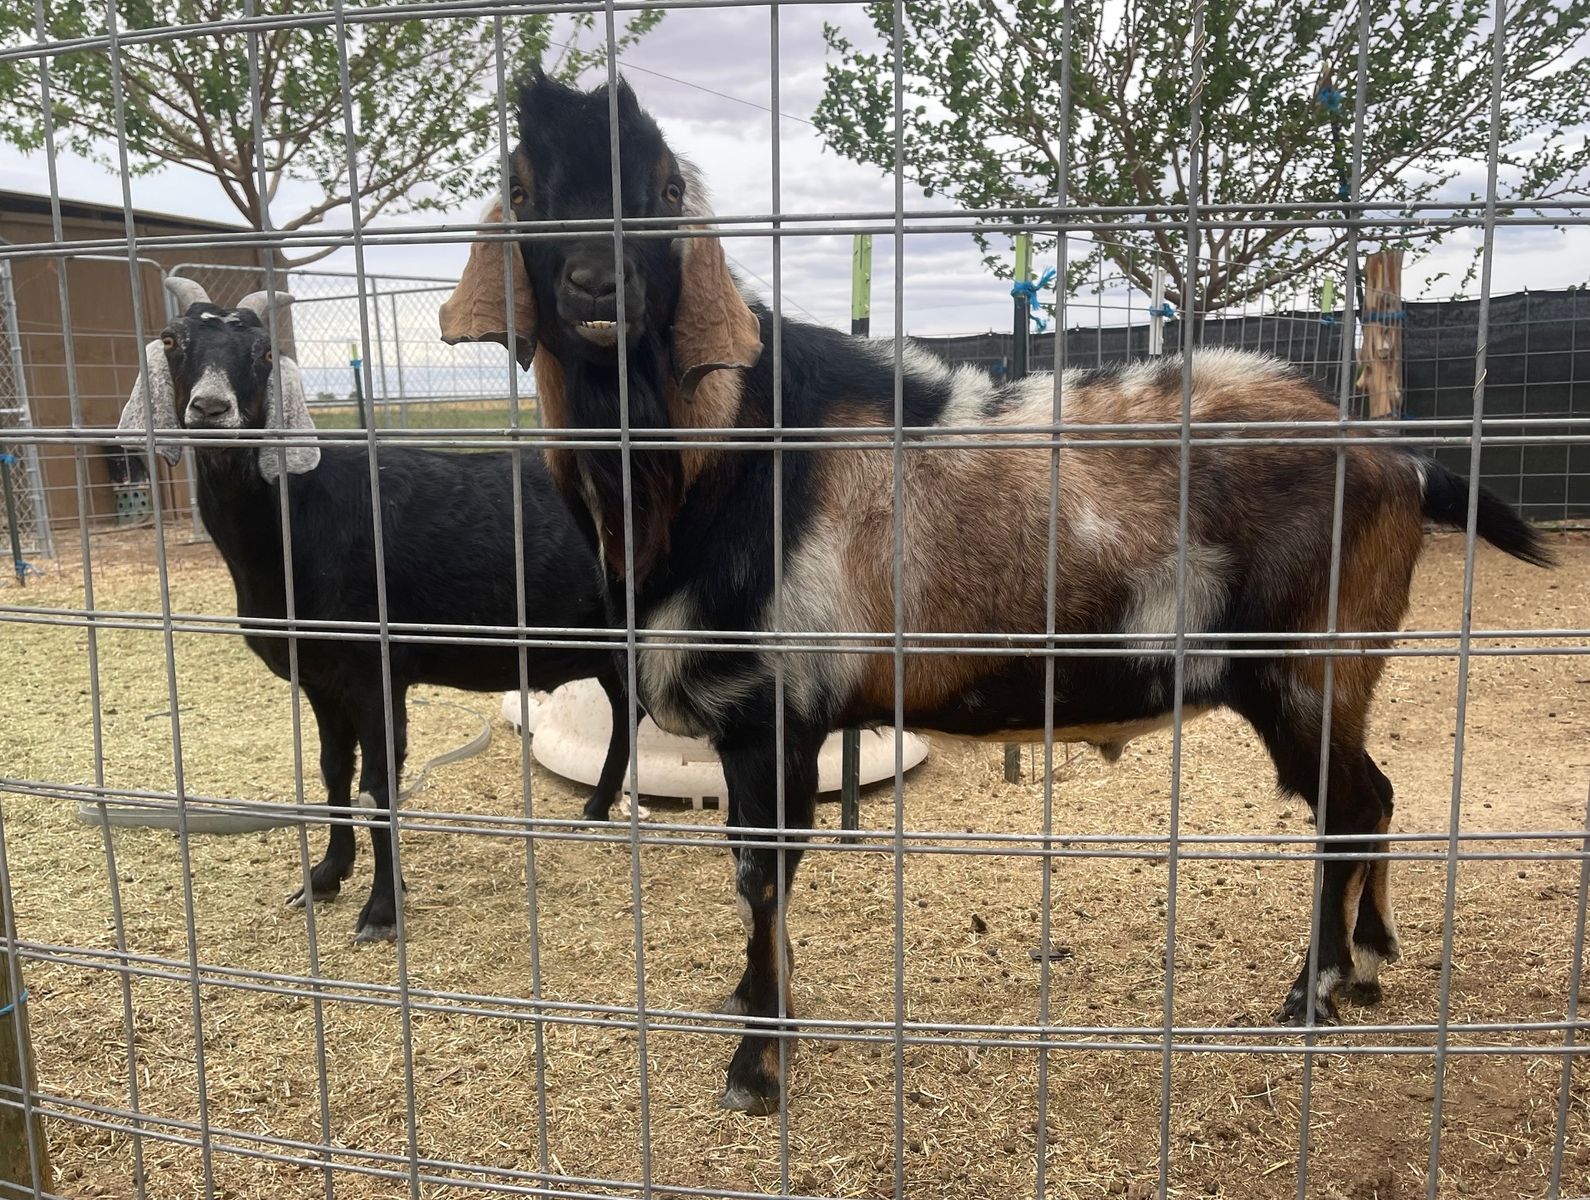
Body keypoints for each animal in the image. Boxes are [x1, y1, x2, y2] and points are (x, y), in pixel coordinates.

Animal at [119, 277, 632, 942]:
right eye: (171, 340)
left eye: (264, 353)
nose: (211, 409)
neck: (297, 521)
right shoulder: (320, 676)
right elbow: (334, 769)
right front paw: (324, 877)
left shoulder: (374, 669)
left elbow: (379, 782)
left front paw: (382, 910)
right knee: (626, 710)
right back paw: (594, 810)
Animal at [440, 73, 1555, 1113]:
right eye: (523, 188)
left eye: (666, 187)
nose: (596, 282)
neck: (722, 459)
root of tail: (1398, 458)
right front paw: (756, 1006)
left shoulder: (774, 710)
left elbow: (762, 876)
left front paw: (758, 1063)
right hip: (1340, 674)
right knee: (1380, 793)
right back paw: (1369, 960)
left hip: (1307, 665)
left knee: (1351, 807)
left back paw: (1311, 994)